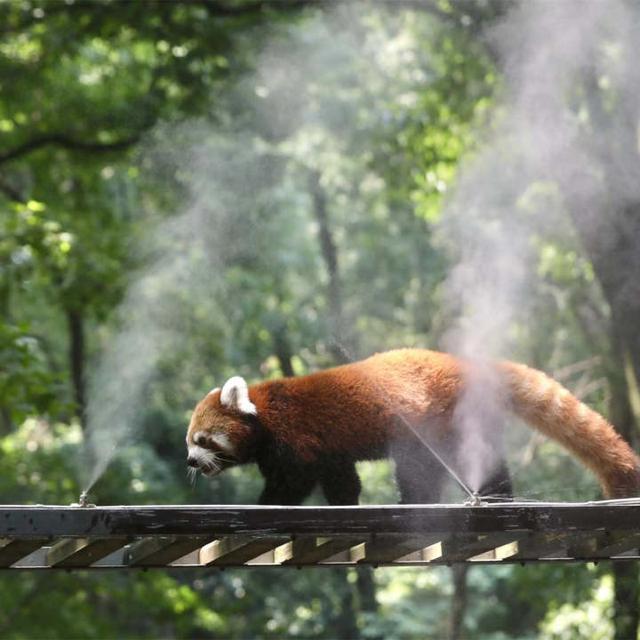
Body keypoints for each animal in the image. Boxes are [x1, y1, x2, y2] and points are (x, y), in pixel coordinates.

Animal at [184, 350, 640, 504]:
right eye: (189, 441)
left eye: (202, 439)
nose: (189, 461)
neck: (265, 411)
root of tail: (459, 362)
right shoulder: (331, 452)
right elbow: (342, 480)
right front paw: (347, 504)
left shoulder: (297, 438)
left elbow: (292, 482)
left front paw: (266, 504)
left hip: (436, 422)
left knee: (425, 469)